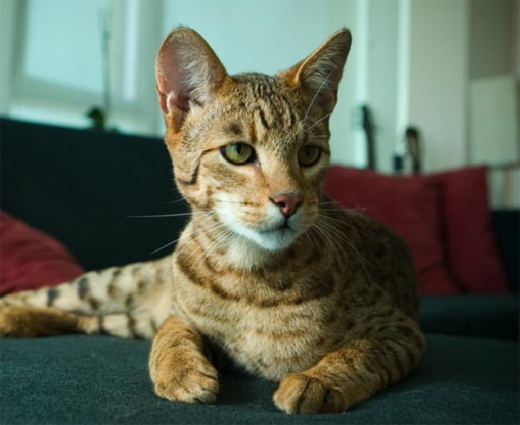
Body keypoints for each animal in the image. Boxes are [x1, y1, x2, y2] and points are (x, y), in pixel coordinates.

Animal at [0, 27, 425, 414]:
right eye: (238, 152)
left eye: (308, 153)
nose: (290, 200)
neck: (248, 275)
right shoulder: (178, 314)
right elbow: (171, 334)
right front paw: (180, 371)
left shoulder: (401, 331)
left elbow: (360, 353)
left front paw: (317, 380)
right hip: (114, 282)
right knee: (51, 298)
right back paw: (13, 314)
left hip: (129, 317)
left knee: (90, 321)